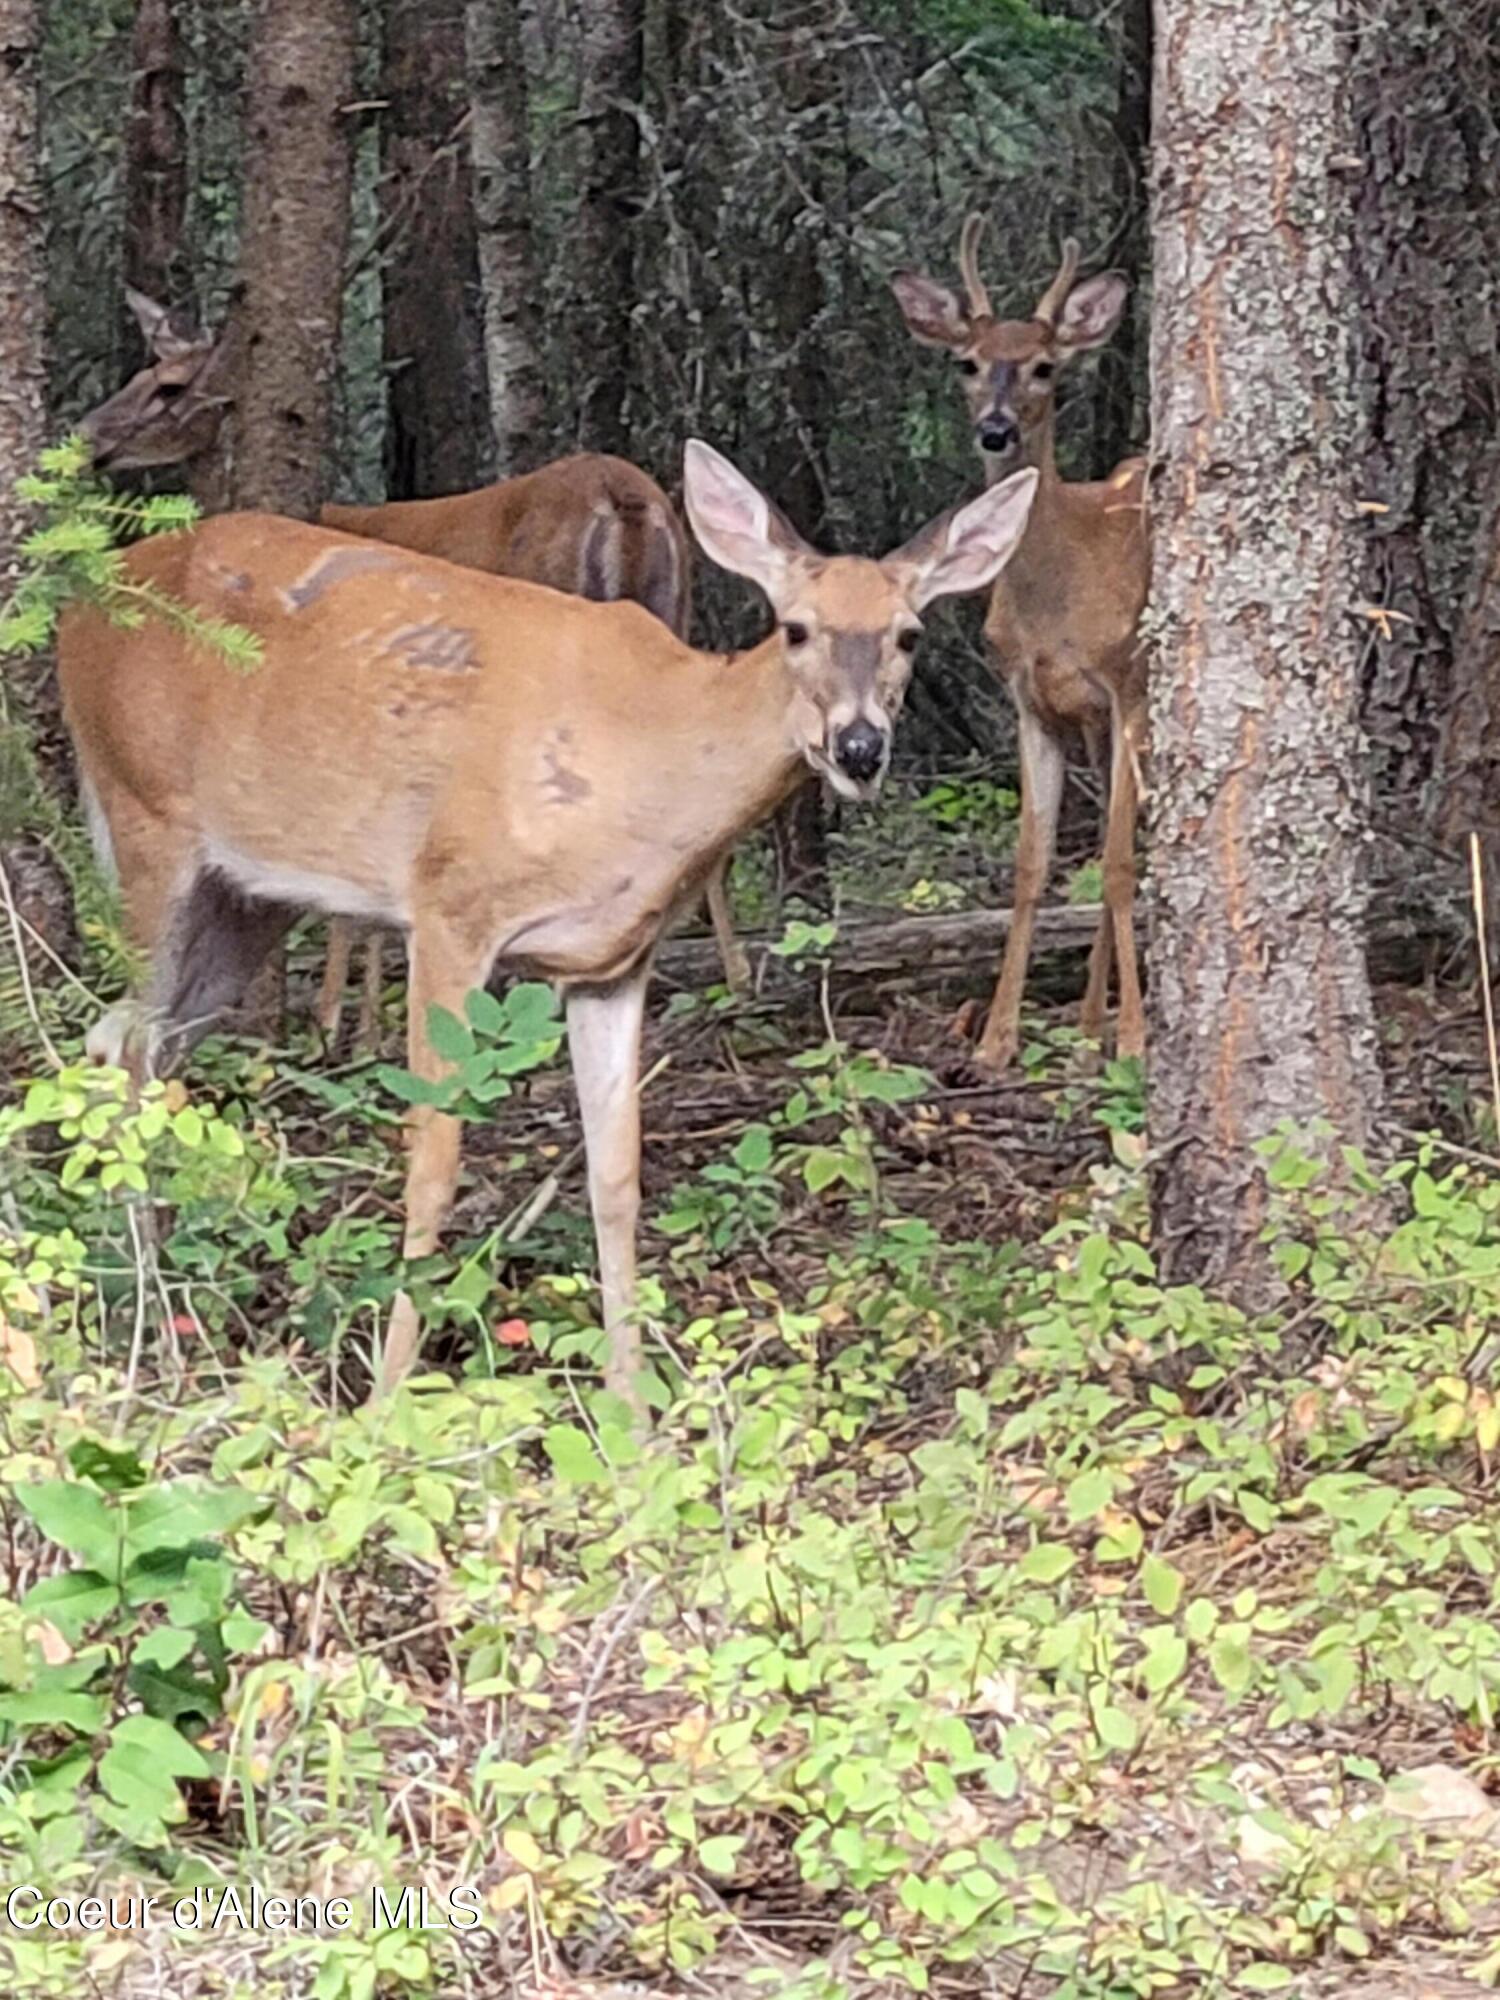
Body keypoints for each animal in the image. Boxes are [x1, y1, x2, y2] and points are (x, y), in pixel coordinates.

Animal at [61, 442, 1048, 1408]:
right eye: (795, 627)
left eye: (909, 633)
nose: (859, 748)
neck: (652, 759)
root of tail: (87, 604)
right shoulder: (449, 905)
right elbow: (433, 1164)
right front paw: (386, 1402)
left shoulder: (612, 960)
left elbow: (617, 1176)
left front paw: (634, 1411)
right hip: (145, 814)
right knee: (130, 1051)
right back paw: (147, 1341)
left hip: (249, 897)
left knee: (128, 1042)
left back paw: (159, 1318)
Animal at [79, 288, 748, 1040]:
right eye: (141, 374)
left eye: (168, 386)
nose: (88, 436)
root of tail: (626, 498)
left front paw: (341, 1017)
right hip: (672, 616)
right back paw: (731, 979)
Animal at [892, 219, 1152, 1080]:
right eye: (967, 362)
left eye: (1044, 365)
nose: (996, 428)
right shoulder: (1031, 704)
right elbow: (1033, 866)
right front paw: (999, 1038)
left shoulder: (1127, 687)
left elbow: (1117, 864)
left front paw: (1137, 1038)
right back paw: (1087, 1020)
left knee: (1128, 850)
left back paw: (1111, 1023)